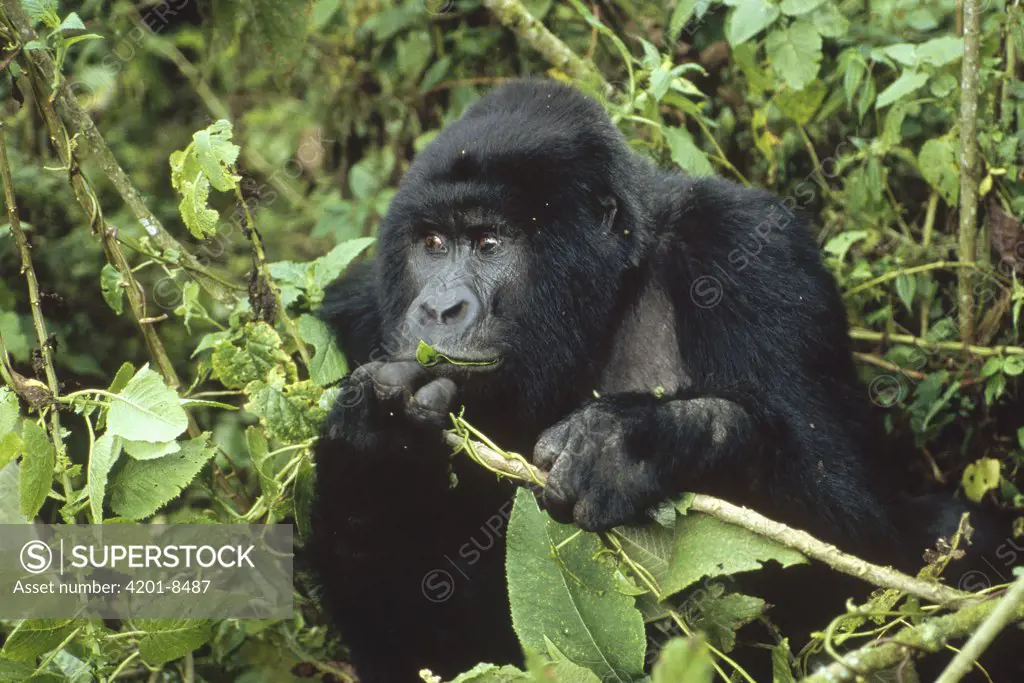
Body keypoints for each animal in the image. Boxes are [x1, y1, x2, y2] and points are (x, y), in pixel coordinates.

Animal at [303, 81, 966, 683]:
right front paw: (375, 450)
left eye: (489, 243)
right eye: (433, 244)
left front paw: (635, 441)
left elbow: (859, 541)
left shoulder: (754, 247)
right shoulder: (360, 314)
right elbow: (422, 653)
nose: (438, 309)